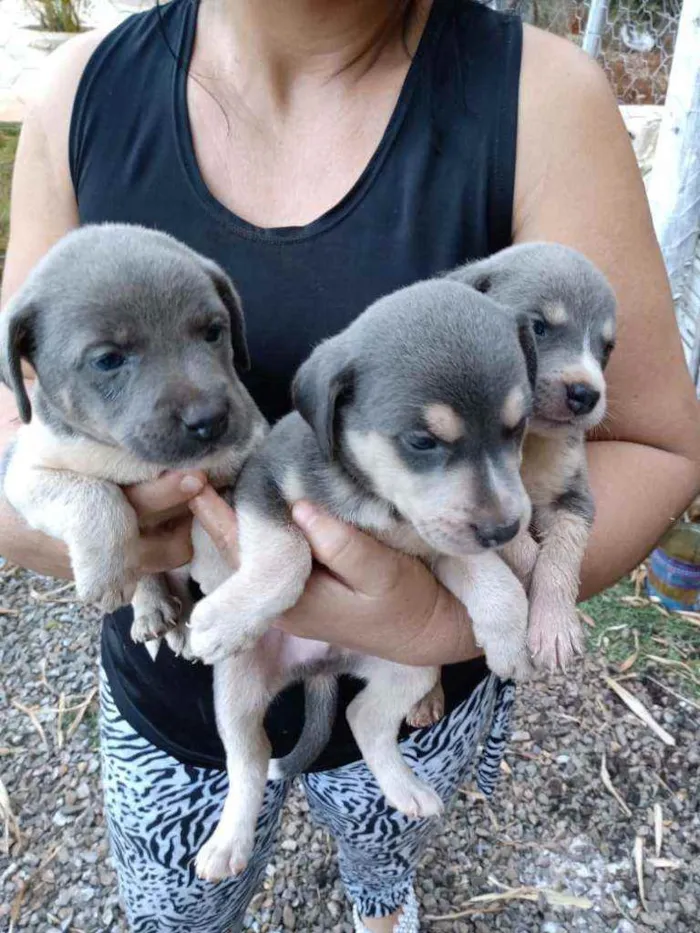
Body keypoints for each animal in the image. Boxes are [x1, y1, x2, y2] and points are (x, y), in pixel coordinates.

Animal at [0, 226, 266, 648]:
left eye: (213, 332)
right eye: (108, 360)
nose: (210, 420)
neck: (131, 457)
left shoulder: (249, 448)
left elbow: (214, 513)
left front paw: (217, 571)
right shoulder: (24, 474)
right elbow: (96, 496)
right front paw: (108, 575)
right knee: (150, 572)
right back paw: (152, 610)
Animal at [186, 274, 536, 876]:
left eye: (517, 428)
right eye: (422, 441)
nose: (505, 530)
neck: (378, 501)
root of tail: (322, 668)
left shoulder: (435, 542)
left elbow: (489, 574)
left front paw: (508, 635)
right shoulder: (264, 486)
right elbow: (288, 557)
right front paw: (225, 618)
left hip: (411, 669)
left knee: (364, 717)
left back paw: (405, 788)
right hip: (236, 689)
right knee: (249, 761)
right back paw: (228, 843)